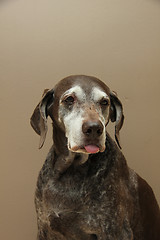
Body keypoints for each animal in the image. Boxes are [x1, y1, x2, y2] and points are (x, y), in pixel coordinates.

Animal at [30, 74, 160, 239]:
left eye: (104, 102)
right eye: (69, 99)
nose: (94, 128)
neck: (72, 170)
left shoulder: (114, 230)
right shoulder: (44, 228)